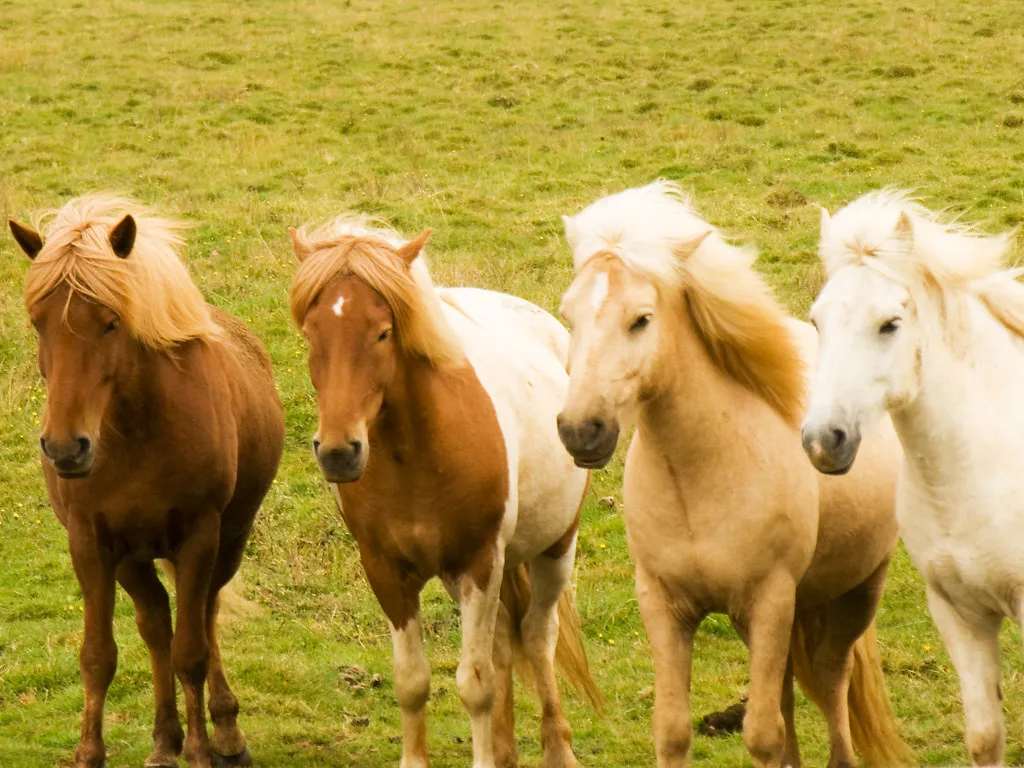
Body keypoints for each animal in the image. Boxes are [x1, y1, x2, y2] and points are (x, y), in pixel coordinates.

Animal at [9, 196, 284, 768]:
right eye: (38, 323)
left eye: (111, 323)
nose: (66, 448)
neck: (137, 434)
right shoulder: (90, 543)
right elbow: (98, 656)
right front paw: (90, 753)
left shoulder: (199, 536)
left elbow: (192, 653)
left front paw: (201, 751)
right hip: (133, 559)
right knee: (156, 623)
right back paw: (163, 740)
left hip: (227, 541)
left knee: (203, 615)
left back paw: (225, 734)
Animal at [287, 215, 600, 768]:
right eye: (311, 333)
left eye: (383, 333)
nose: (339, 452)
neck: (414, 459)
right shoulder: (387, 571)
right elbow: (413, 682)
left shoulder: (478, 563)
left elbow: (475, 685)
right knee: (504, 643)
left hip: (554, 549)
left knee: (537, 638)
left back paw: (557, 750)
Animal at [555, 181, 910, 768]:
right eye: (569, 316)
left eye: (641, 319)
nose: (581, 430)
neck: (699, 477)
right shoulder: (665, 605)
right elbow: (674, 729)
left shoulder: (769, 600)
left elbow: (762, 734)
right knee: (788, 690)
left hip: (856, 593)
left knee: (832, 680)